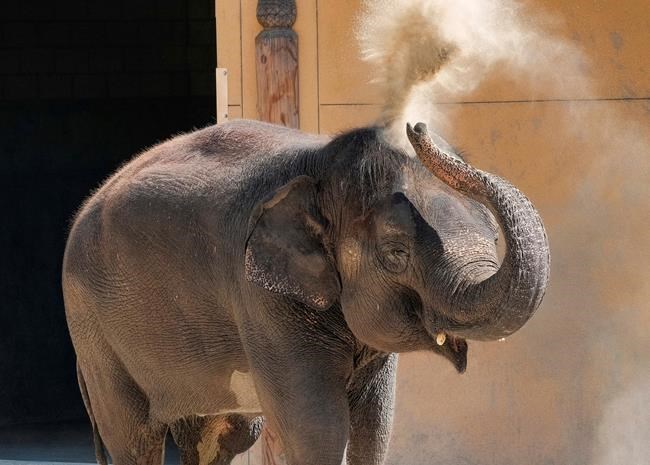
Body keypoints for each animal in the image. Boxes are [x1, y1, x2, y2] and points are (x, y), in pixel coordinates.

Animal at [62, 119, 550, 465]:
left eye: (493, 238)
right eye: (396, 253)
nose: (417, 127)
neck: (321, 166)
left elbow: (375, 426)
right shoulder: (260, 297)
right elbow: (318, 428)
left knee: (224, 436)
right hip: (95, 332)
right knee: (133, 438)